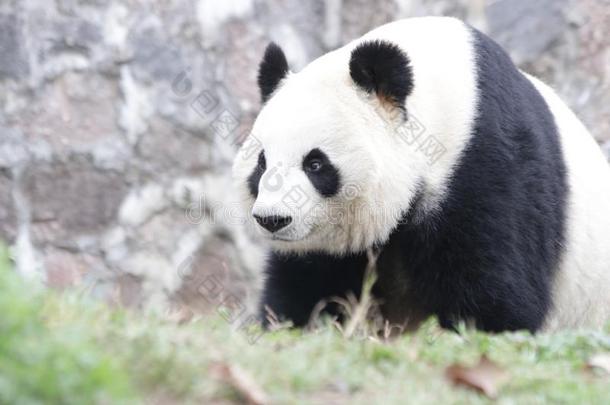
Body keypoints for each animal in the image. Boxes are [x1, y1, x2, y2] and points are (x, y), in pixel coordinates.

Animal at [230, 15, 608, 332]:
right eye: (262, 163)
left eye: (315, 164)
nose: (272, 219)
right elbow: (308, 281)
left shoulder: (487, 162)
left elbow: (498, 288)